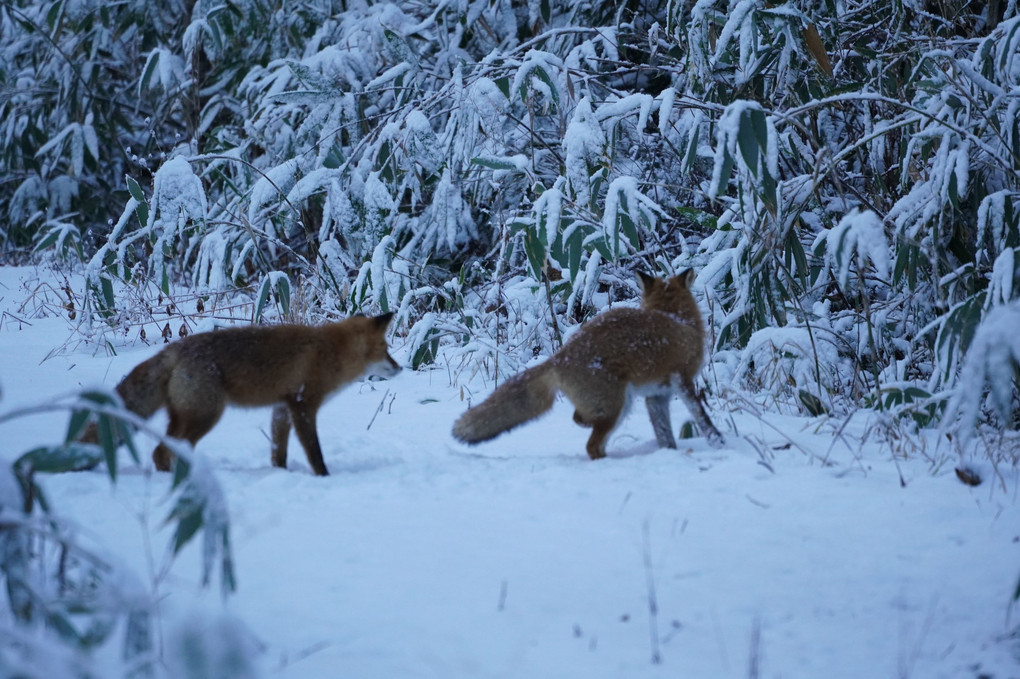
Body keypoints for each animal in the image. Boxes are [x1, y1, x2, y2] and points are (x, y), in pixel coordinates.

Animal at [84, 314, 401, 473]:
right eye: (386, 349)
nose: (401, 367)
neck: (331, 351)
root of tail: (174, 349)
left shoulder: (282, 407)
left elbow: (278, 451)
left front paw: (279, 474)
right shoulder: (303, 405)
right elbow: (314, 452)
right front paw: (324, 477)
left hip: (185, 417)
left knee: (163, 451)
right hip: (205, 416)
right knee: (161, 452)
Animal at [450, 273, 722, 456]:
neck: (677, 320)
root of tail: (560, 356)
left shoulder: (656, 395)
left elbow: (664, 433)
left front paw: (669, 453)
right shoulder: (683, 380)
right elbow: (701, 417)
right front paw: (717, 441)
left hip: (617, 403)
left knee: (580, 420)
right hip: (617, 405)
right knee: (591, 445)